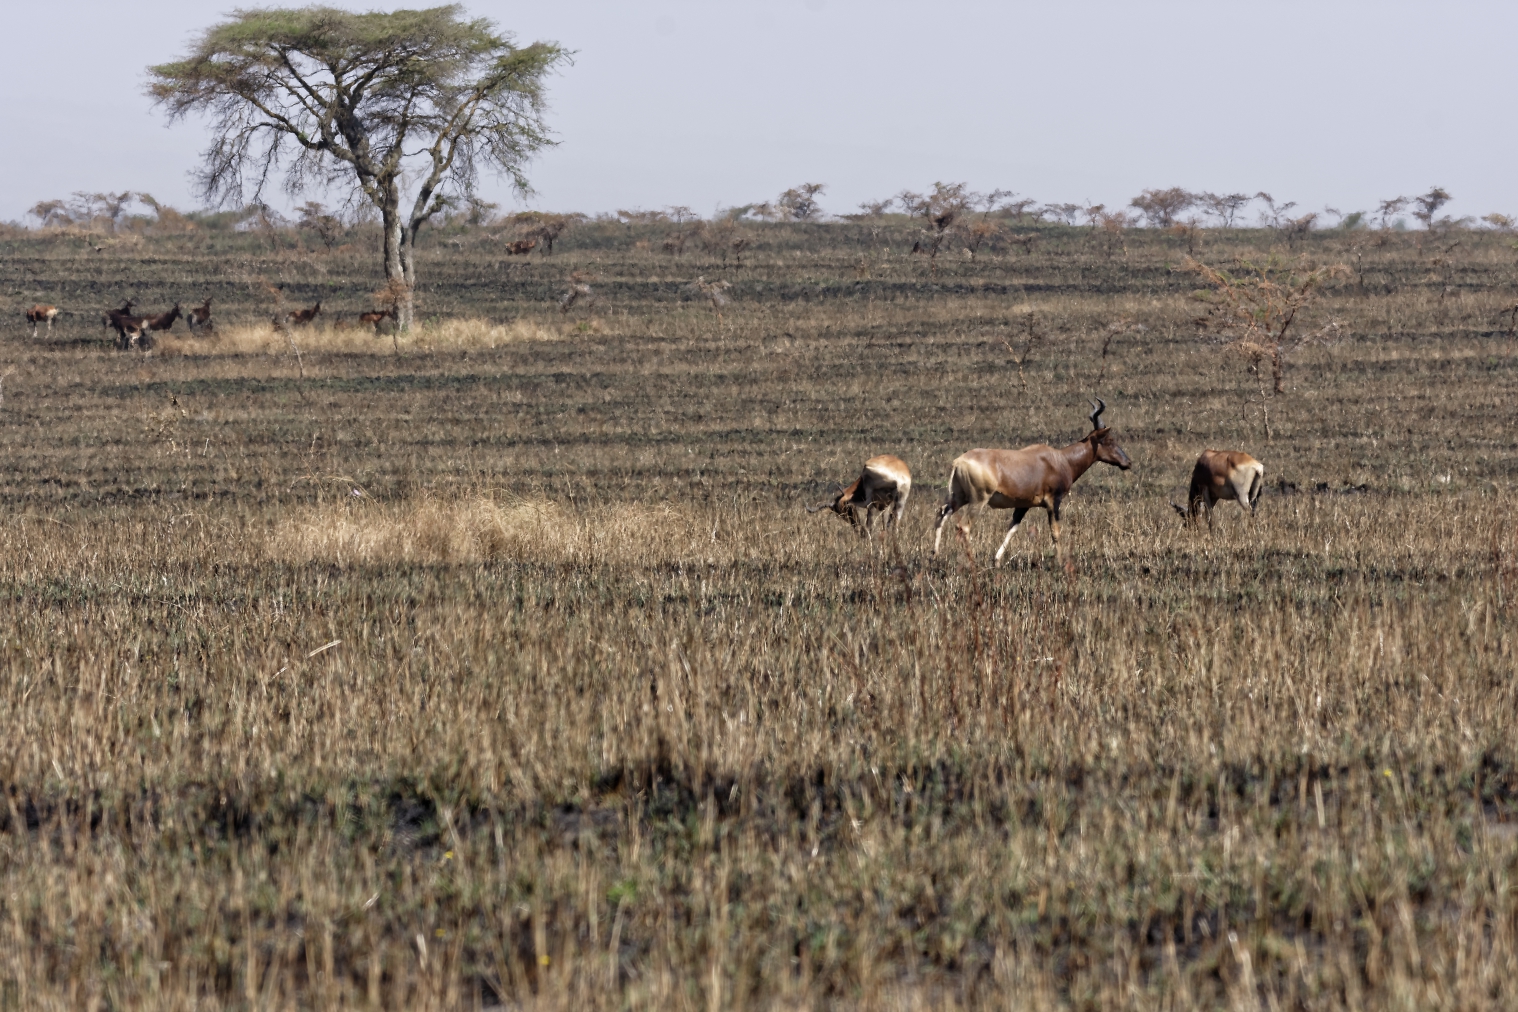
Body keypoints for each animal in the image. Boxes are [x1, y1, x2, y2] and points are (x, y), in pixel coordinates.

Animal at [932, 399, 1133, 565]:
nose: (1128, 462)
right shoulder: (1053, 502)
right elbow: (1055, 532)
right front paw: (1061, 563)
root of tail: (958, 462)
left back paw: (933, 556)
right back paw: (972, 561)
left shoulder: (1023, 505)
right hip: (978, 500)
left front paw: (996, 560)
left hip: (959, 497)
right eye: (1109, 439)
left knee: (942, 513)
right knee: (964, 526)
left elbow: (1012, 529)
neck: (1060, 459)